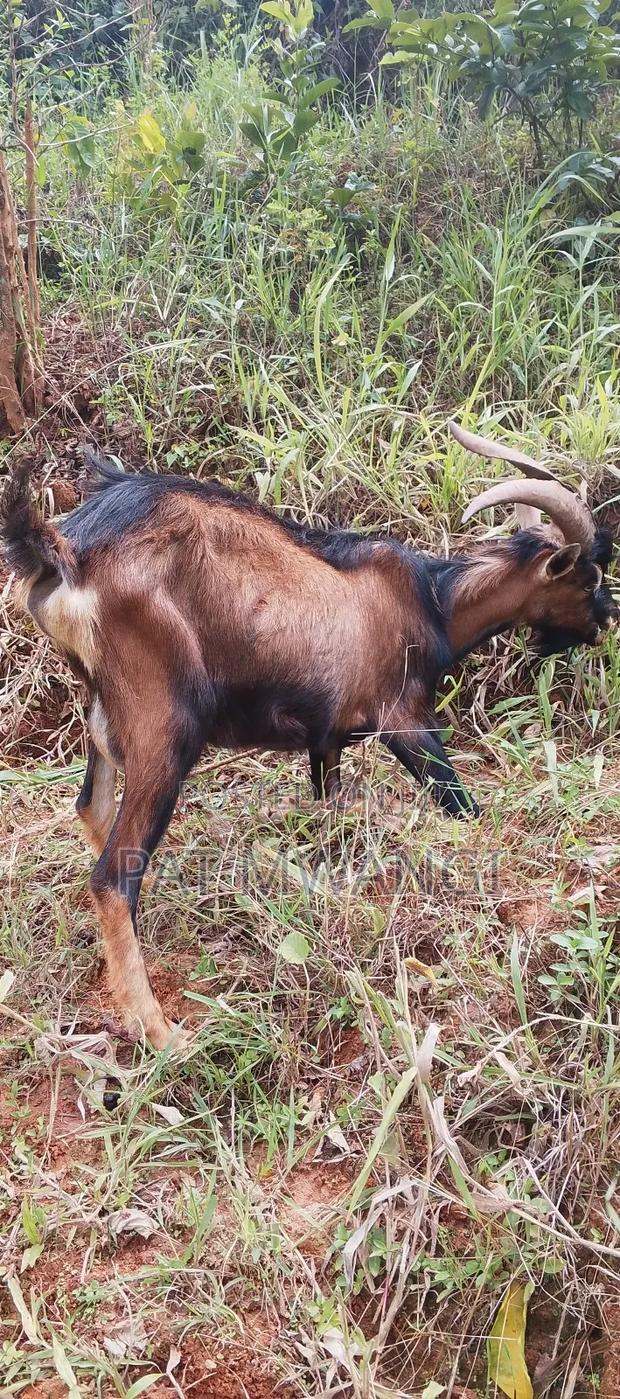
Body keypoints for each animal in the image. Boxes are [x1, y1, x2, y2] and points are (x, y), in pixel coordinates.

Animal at [1, 423, 617, 1048]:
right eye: (588, 576)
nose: (605, 619)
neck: (435, 601)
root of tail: (64, 551)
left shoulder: (327, 741)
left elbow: (328, 819)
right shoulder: (404, 718)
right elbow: (461, 806)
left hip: (104, 710)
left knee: (93, 810)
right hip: (164, 724)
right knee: (113, 877)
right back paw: (160, 1032)